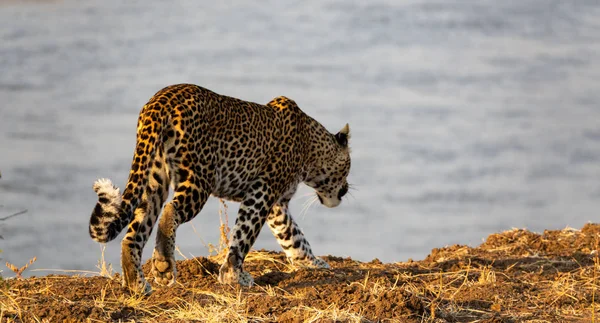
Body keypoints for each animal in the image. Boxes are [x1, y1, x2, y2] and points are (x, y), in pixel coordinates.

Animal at [89, 83, 352, 294]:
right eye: (349, 167)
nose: (346, 190)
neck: (310, 148)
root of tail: (160, 100)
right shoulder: (263, 191)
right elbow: (244, 234)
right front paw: (234, 275)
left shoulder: (277, 204)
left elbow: (293, 236)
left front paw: (312, 262)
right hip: (199, 179)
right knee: (171, 210)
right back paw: (163, 265)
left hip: (153, 178)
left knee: (135, 231)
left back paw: (137, 283)